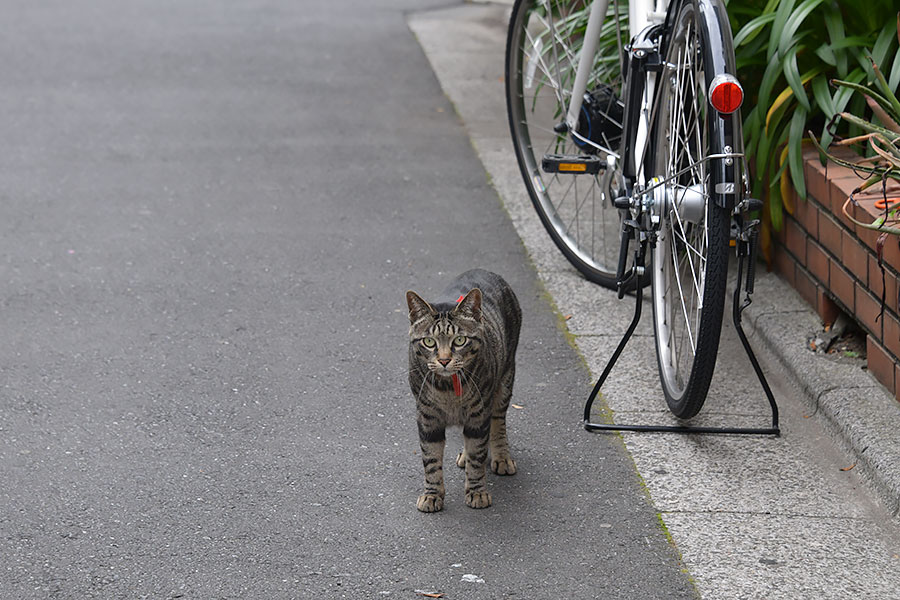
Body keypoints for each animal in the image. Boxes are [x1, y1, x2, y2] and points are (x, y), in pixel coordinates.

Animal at [406, 268, 520, 510]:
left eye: (459, 340)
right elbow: (431, 460)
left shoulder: (479, 414)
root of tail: (483, 270)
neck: (448, 389)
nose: (444, 360)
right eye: (429, 342)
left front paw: (477, 492)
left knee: (498, 422)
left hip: (505, 381)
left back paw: (502, 457)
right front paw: (432, 494)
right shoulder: (427, 418)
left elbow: (478, 456)